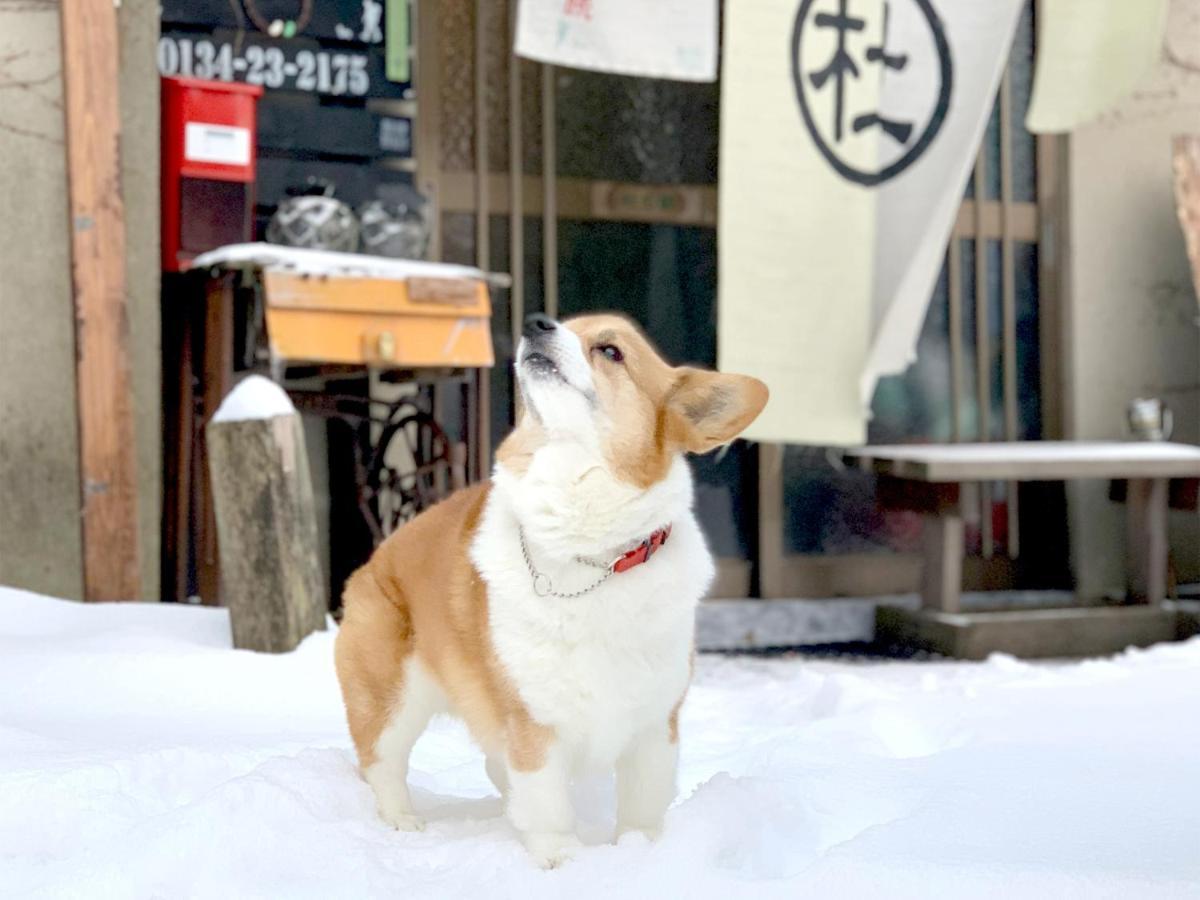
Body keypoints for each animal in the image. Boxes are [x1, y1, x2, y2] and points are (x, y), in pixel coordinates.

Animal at [338, 312, 768, 868]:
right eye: (565, 324)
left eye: (610, 350)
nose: (535, 322)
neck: (591, 555)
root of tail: (375, 558)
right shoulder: (533, 723)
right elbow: (546, 802)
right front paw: (560, 860)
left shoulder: (655, 726)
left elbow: (643, 806)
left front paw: (642, 853)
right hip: (393, 697)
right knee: (383, 762)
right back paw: (401, 821)